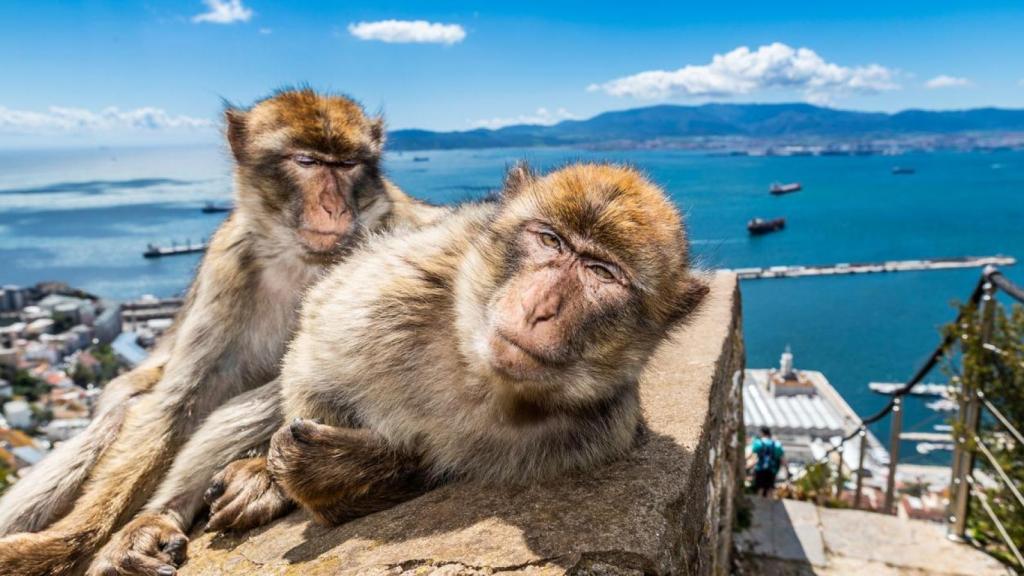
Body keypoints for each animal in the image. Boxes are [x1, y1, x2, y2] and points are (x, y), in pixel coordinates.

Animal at [0, 88, 444, 576]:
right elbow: (177, 403)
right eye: (307, 162)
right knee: (128, 409)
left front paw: (274, 477)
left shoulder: (401, 234)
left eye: (347, 165)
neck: (300, 259)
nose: (335, 207)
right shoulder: (228, 265)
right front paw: (65, 544)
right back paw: (158, 517)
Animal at [197, 162, 708, 544]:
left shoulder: (598, 434)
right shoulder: (390, 290)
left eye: (602, 272)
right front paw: (277, 471)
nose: (540, 307)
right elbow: (312, 359)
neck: (479, 374)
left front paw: (331, 472)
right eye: (550, 240)